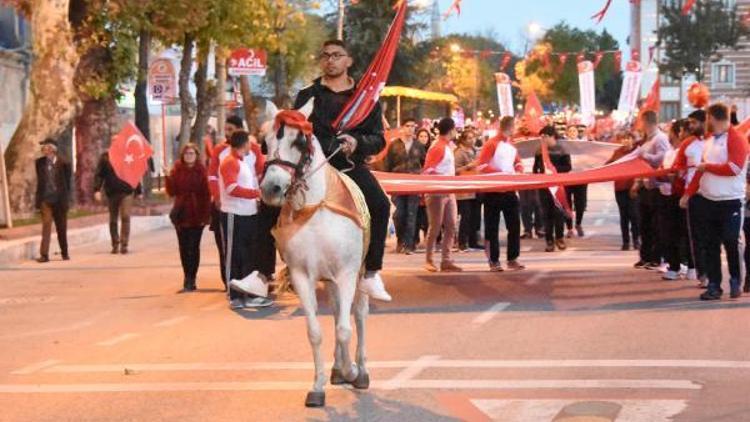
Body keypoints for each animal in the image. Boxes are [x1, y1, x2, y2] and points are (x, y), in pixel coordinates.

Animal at [262, 100, 374, 408]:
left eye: (299, 141)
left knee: (358, 314)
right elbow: (316, 332)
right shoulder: (303, 276)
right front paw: (318, 386)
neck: (316, 209)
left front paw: (352, 370)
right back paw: (337, 369)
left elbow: (346, 329)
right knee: (337, 312)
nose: (271, 189)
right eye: (265, 142)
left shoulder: (347, 273)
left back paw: (360, 370)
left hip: (360, 274)